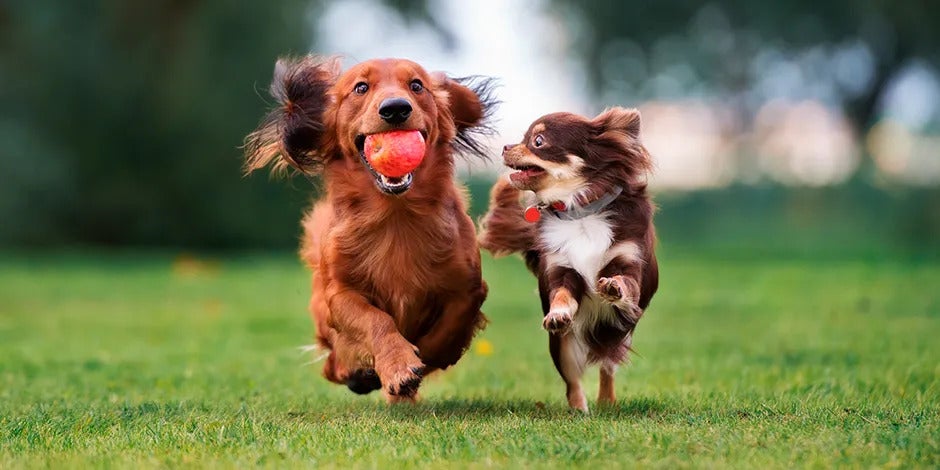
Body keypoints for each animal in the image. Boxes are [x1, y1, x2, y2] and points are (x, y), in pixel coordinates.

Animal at [482, 106, 656, 412]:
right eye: (523, 138)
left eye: (538, 141)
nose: (505, 146)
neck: (580, 212)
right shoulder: (561, 269)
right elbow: (562, 295)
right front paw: (558, 313)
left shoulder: (629, 262)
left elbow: (625, 282)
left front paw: (613, 286)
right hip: (562, 347)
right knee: (573, 381)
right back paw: (579, 410)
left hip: (618, 335)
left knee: (607, 367)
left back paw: (607, 402)